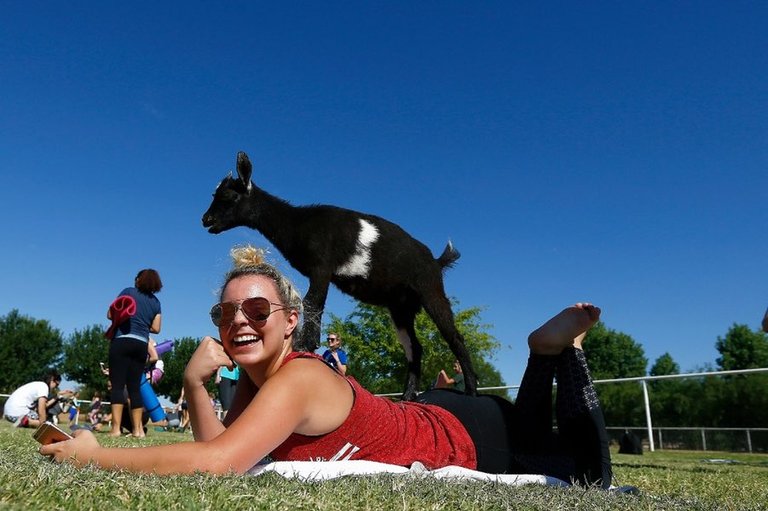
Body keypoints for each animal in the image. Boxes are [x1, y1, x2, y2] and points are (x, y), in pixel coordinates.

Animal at [202, 152, 480, 400]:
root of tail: (435, 261)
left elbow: (312, 302)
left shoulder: (322, 267)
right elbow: (313, 303)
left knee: (454, 336)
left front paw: (304, 346)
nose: (206, 219)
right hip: (400, 306)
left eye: (228, 196)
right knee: (414, 347)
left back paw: (471, 390)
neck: (297, 224)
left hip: (430, 289)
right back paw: (408, 396)